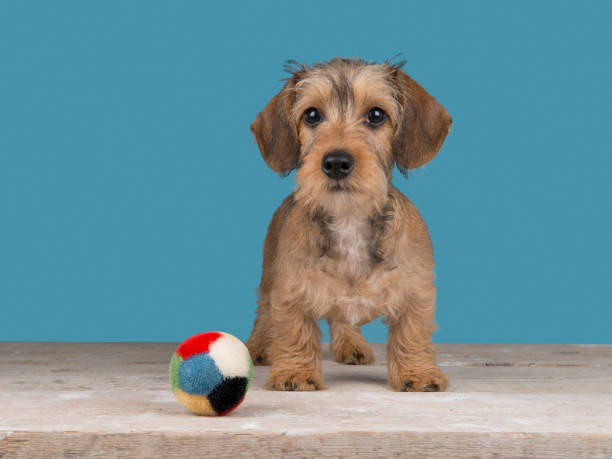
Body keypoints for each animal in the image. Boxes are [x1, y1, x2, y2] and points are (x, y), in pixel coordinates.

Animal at [246, 57, 452, 394]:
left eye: (376, 115)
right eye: (312, 115)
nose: (336, 163)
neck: (349, 219)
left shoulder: (417, 289)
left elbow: (413, 332)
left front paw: (418, 372)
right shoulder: (288, 289)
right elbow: (294, 330)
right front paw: (296, 371)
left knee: (342, 319)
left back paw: (351, 343)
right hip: (267, 276)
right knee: (264, 312)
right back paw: (258, 345)